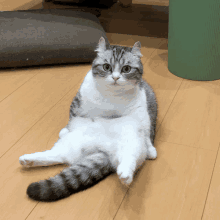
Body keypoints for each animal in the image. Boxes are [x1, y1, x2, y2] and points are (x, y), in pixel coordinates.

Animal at [18, 37, 156, 202]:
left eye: (126, 69)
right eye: (106, 66)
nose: (115, 77)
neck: (112, 97)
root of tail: (101, 152)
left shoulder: (141, 111)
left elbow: (147, 129)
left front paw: (151, 149)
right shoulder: (79, 103)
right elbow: (72, 116)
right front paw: (66, 128)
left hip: (131, 143)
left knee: (129, 157)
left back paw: (125, 174)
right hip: (72, 146)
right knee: (56, 155)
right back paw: (28, 159)